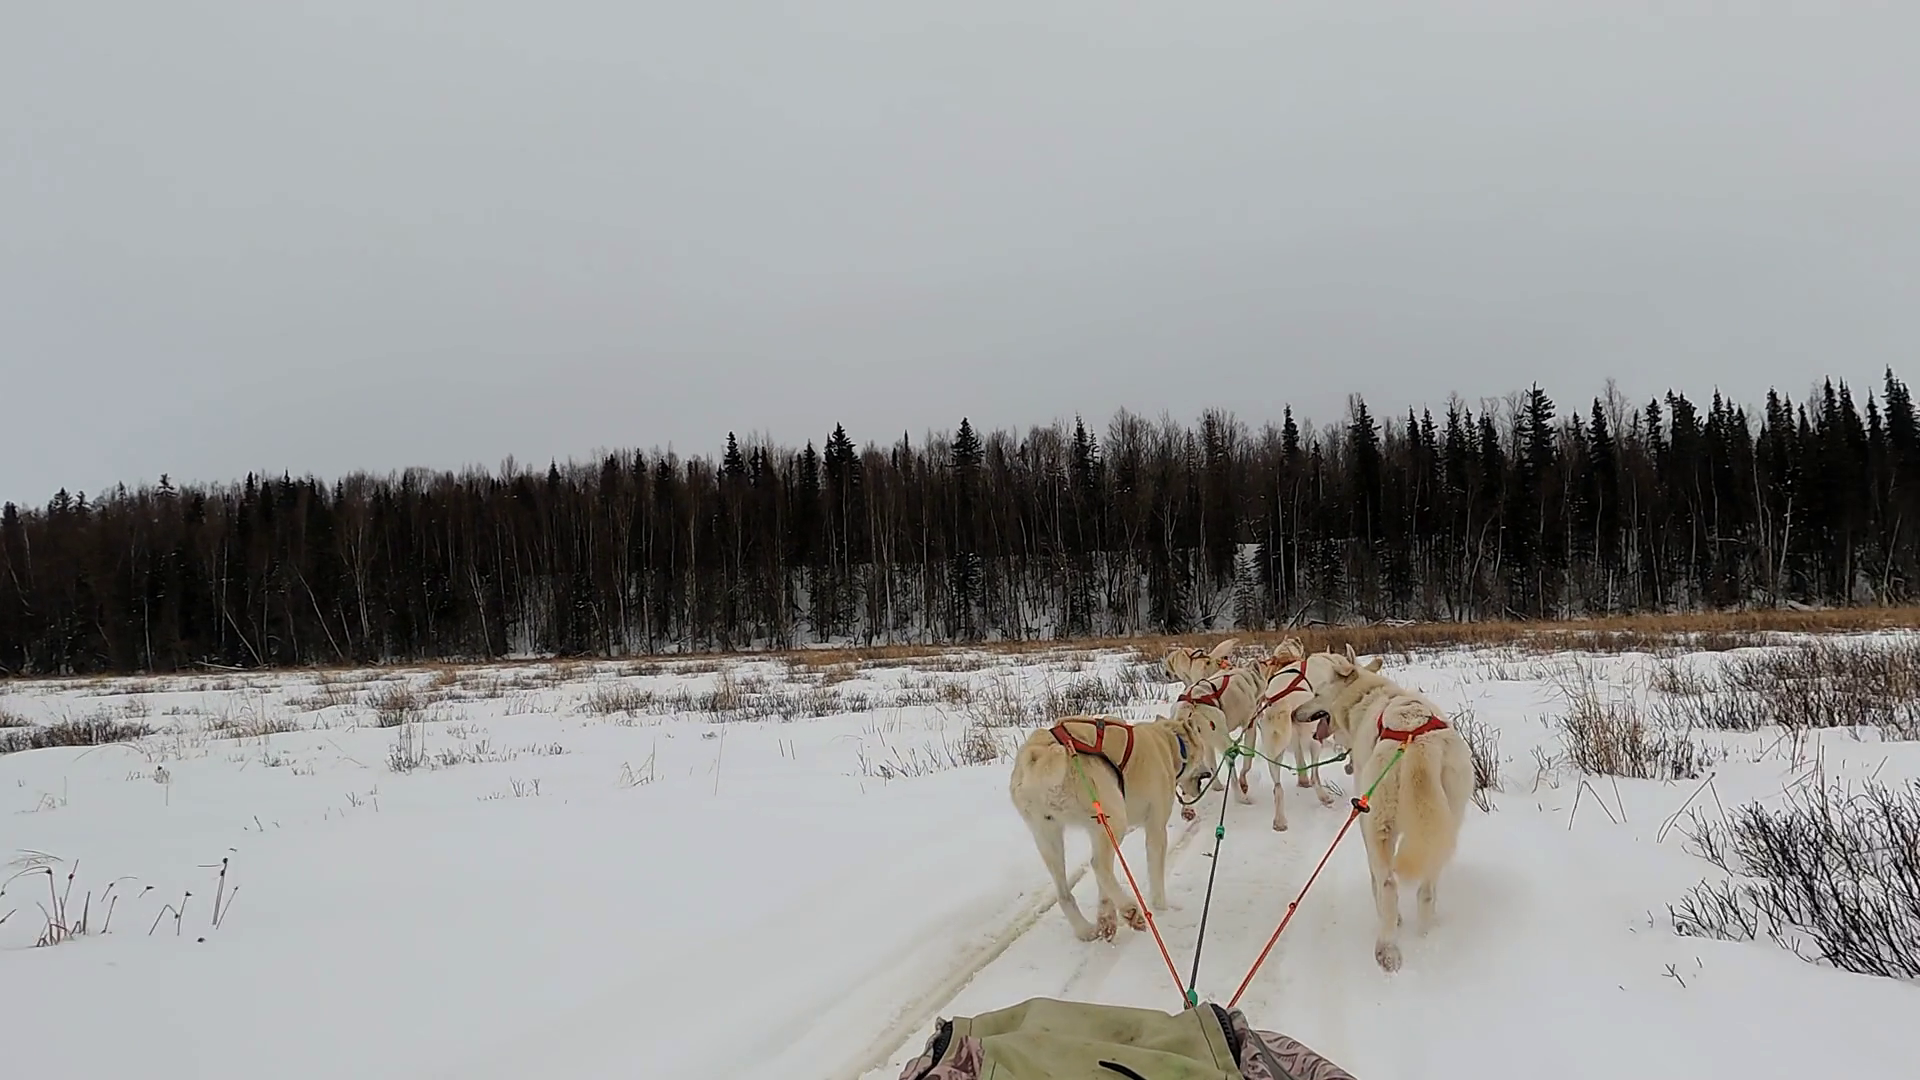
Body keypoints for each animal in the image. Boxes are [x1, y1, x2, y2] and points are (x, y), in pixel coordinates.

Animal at [1009, 708, 1228, 941]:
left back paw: (1086, 928)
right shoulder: (1155, 828)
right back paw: (1130, 909)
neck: (1169, 742)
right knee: (1098, 865)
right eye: (1202, 750)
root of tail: (1038, 754)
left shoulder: (1092, 831)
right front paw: (1161, 908)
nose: (1208, 771)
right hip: (1115, 821)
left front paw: (1106, 917)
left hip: (1049, 836)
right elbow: (1155, 875)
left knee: (1065, 893)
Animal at [1290, 646, 1473, 971]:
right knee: (1427, 889)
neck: (1366, 697)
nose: (1293, 714)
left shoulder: (1364, 819)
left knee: (1388, 884)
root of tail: (1417, 742)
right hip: (1446, 823)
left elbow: (1375, 878)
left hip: (1379, 823)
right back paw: (1425, 933)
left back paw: (1387, 946)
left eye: (1317, 692)